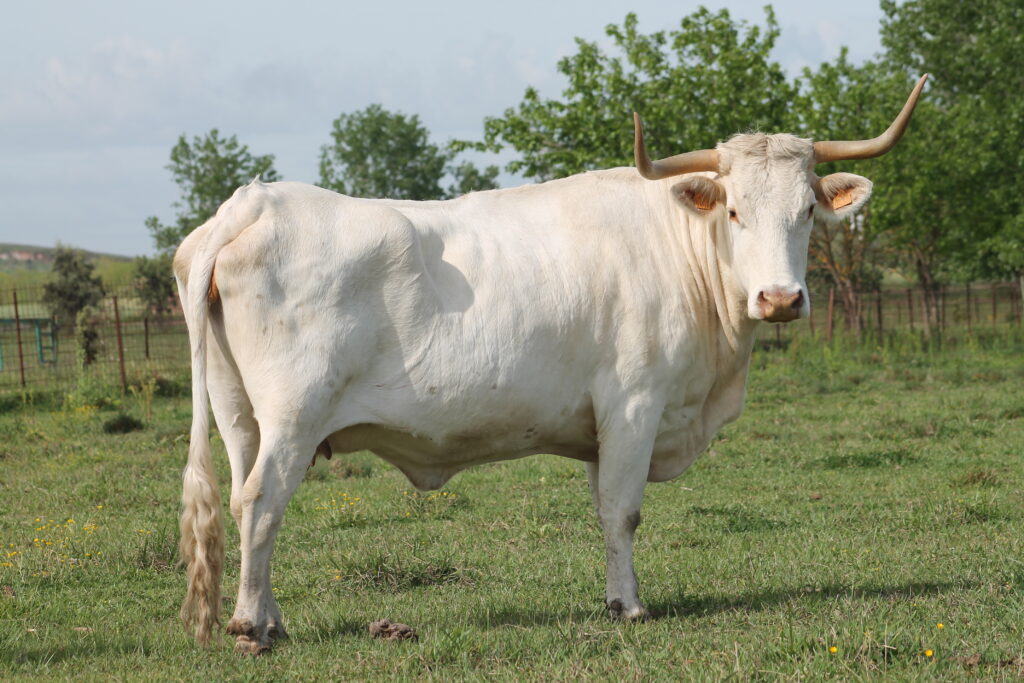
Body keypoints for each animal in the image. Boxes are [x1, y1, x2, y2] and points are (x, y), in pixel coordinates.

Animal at [174, 75, 927, 653]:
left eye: (806, 213)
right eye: (736, 210)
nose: (780, 298)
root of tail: (254, 201)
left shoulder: (600, 424)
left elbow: (604, 509)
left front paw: (614, 597)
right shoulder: (635, 403)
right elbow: (624, 511)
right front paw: (630, 607)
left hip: (241, 416)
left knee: (247, 503)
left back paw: (269, 616)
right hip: (294, 415)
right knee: (263, 501)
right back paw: (251, 627)